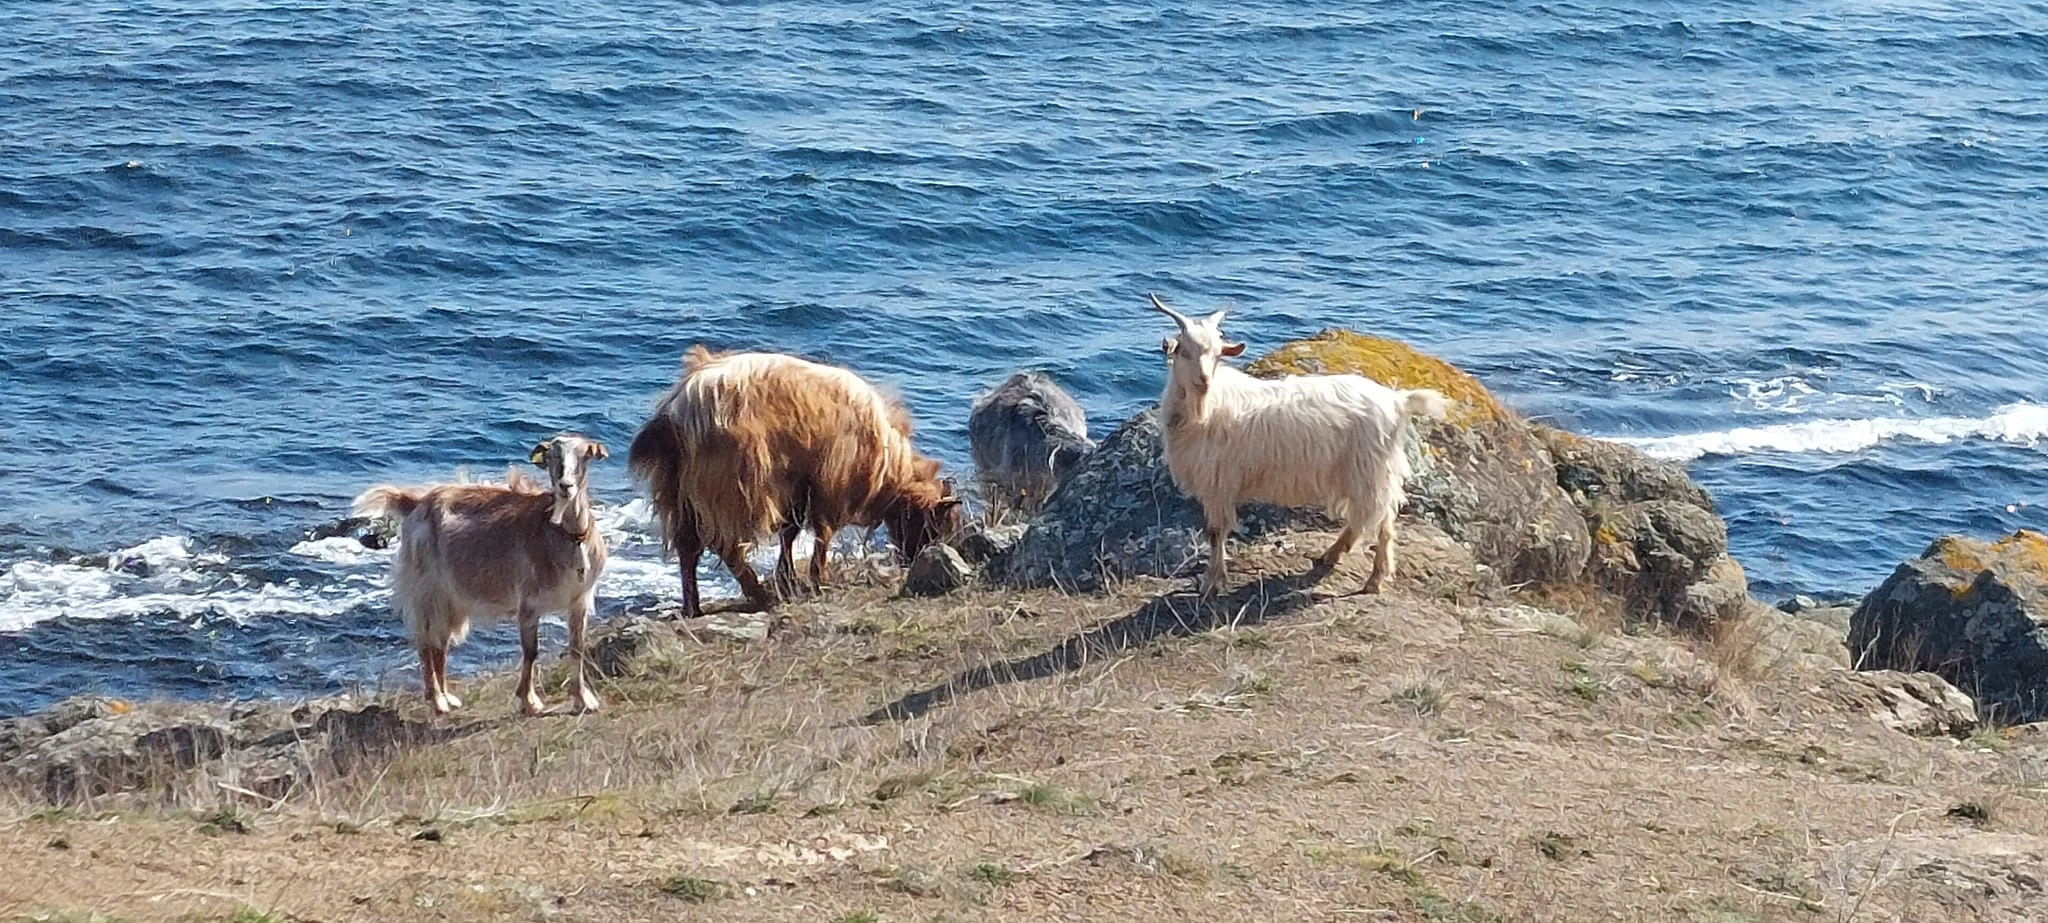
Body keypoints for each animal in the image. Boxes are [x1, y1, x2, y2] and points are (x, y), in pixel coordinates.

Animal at [350, 437, 606, 720]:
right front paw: (529, 702)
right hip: (427, 590)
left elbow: (577, 647)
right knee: (426, 642)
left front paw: (584, 700)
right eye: (552, 456)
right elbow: (531, 651)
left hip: (451, 599)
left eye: (584, 455)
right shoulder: (528, 603)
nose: (565, 486)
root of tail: (416, 503)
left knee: (440, 645)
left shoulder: (580, 601)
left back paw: (449, 698)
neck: (568, 537)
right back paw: (437, 701)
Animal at [626, 343, 962, 618]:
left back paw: (693, 607)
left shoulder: (800, 487)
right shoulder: (829, 484)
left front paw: (789, 579)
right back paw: (756, 593)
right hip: (732, 484)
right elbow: (821, 534)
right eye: (937, 523)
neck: (887, 463)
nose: (916, 561)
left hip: (678, 489)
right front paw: (815, 580)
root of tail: (673, 414)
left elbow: (790, 533)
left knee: (687, 547)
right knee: (723, 544)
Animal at [1163, 296, 1449, 601]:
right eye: (1184, 352)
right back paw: (1332, 556)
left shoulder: (1217, 483)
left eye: (1218, 355)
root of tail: (1397, 401)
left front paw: (1211, 583)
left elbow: (1216, 532)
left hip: (1371, 470)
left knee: (1381, 523)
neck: (1206, 408)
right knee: (1365, 519)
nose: (1203, 381)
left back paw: (1374, 580)